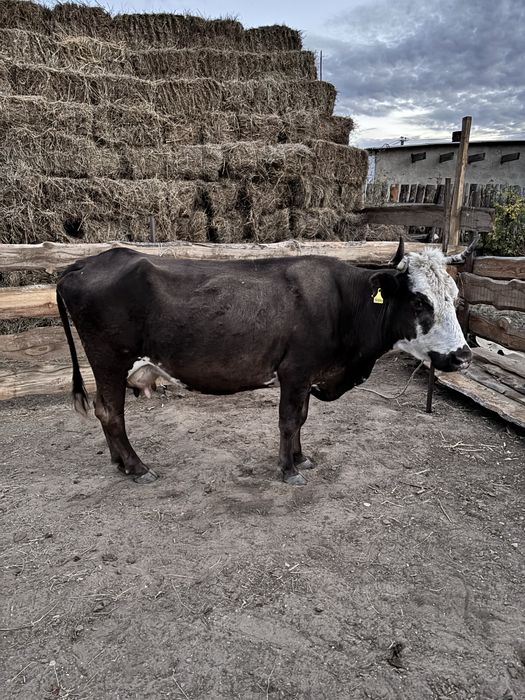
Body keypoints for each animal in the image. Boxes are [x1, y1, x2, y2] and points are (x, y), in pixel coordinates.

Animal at [56, 239, 472, 486]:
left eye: (453, 295)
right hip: (109, 360)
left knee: (105, 411)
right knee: (111, 413)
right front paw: (288, 470)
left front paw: (301, 458)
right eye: (419, 301)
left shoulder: (306, 376)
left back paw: (119, 462)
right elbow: (289, 421)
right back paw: (137, 467)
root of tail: (87, 261)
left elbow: (302, 418)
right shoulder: (295, 371)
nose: (463, 356)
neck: (343, 303)